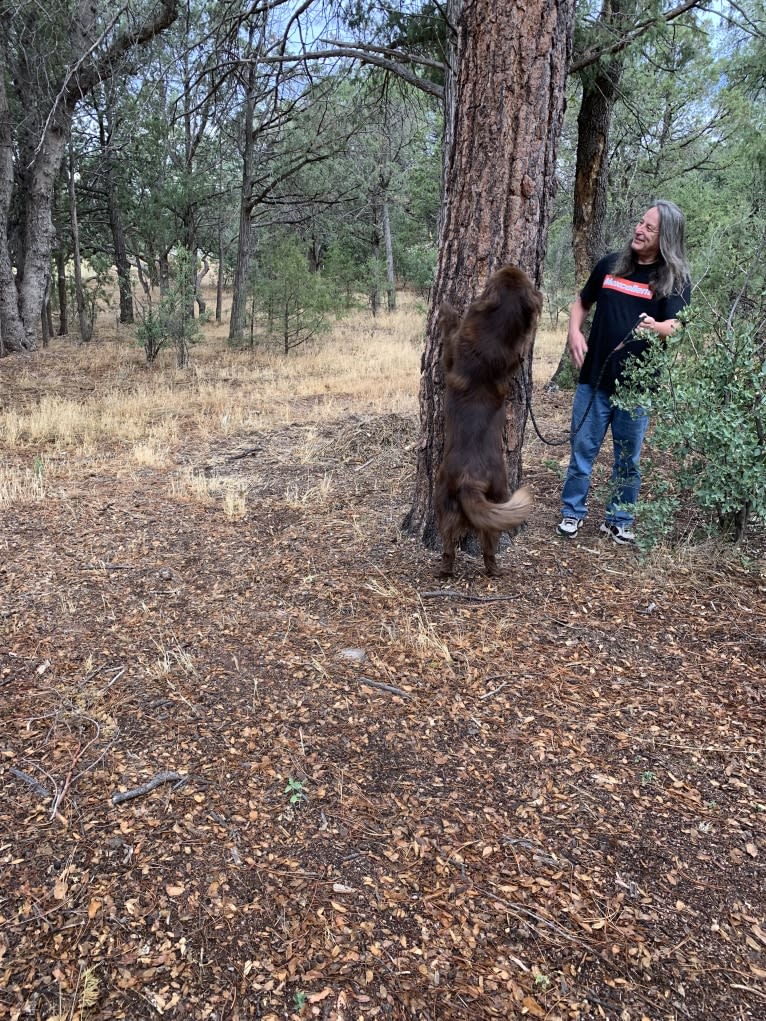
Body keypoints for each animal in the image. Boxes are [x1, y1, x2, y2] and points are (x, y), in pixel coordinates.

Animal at [435, 263, 543, 579]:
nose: (510, 265)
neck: (493, 338)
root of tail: (472, 481)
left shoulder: (451, 353)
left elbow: (450, 329)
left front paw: (447, 309)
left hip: (443, 500)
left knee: (450, 548)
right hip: (492, 499)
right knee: (486, 550)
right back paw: (489, 571)